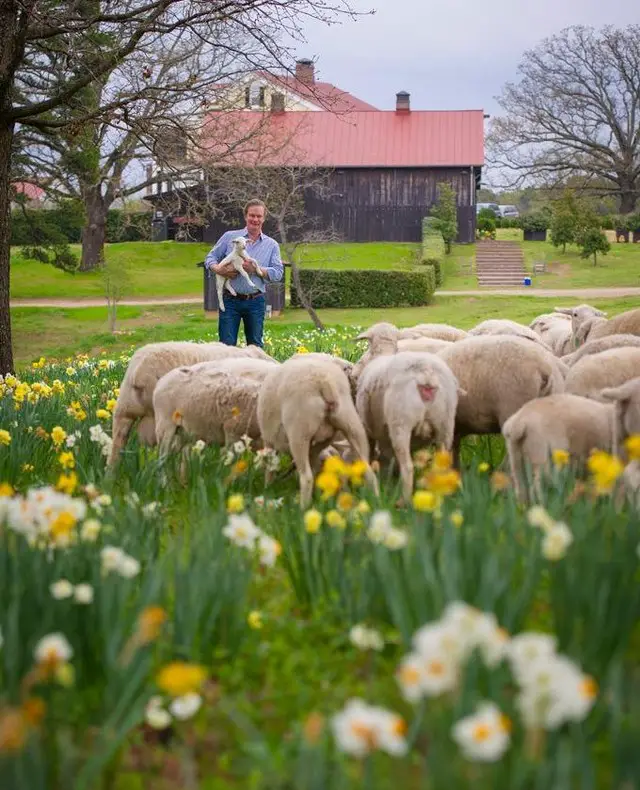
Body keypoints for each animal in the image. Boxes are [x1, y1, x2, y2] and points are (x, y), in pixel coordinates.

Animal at [256, 358, 378, 510]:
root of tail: (325, 382)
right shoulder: (319, 445)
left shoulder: (269, 441)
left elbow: (270, 467)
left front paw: (267, 489)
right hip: (351, 423)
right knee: (369, 472)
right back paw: (376, 501)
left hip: (299, 430)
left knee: (306, 477)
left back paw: (302, 509)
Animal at [356, 352, 460, 502]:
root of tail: (427, 373)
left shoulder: (367, 429)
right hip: (446, 425)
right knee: (442, 467)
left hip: (401, 421)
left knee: (408, 466)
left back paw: (404, 500)